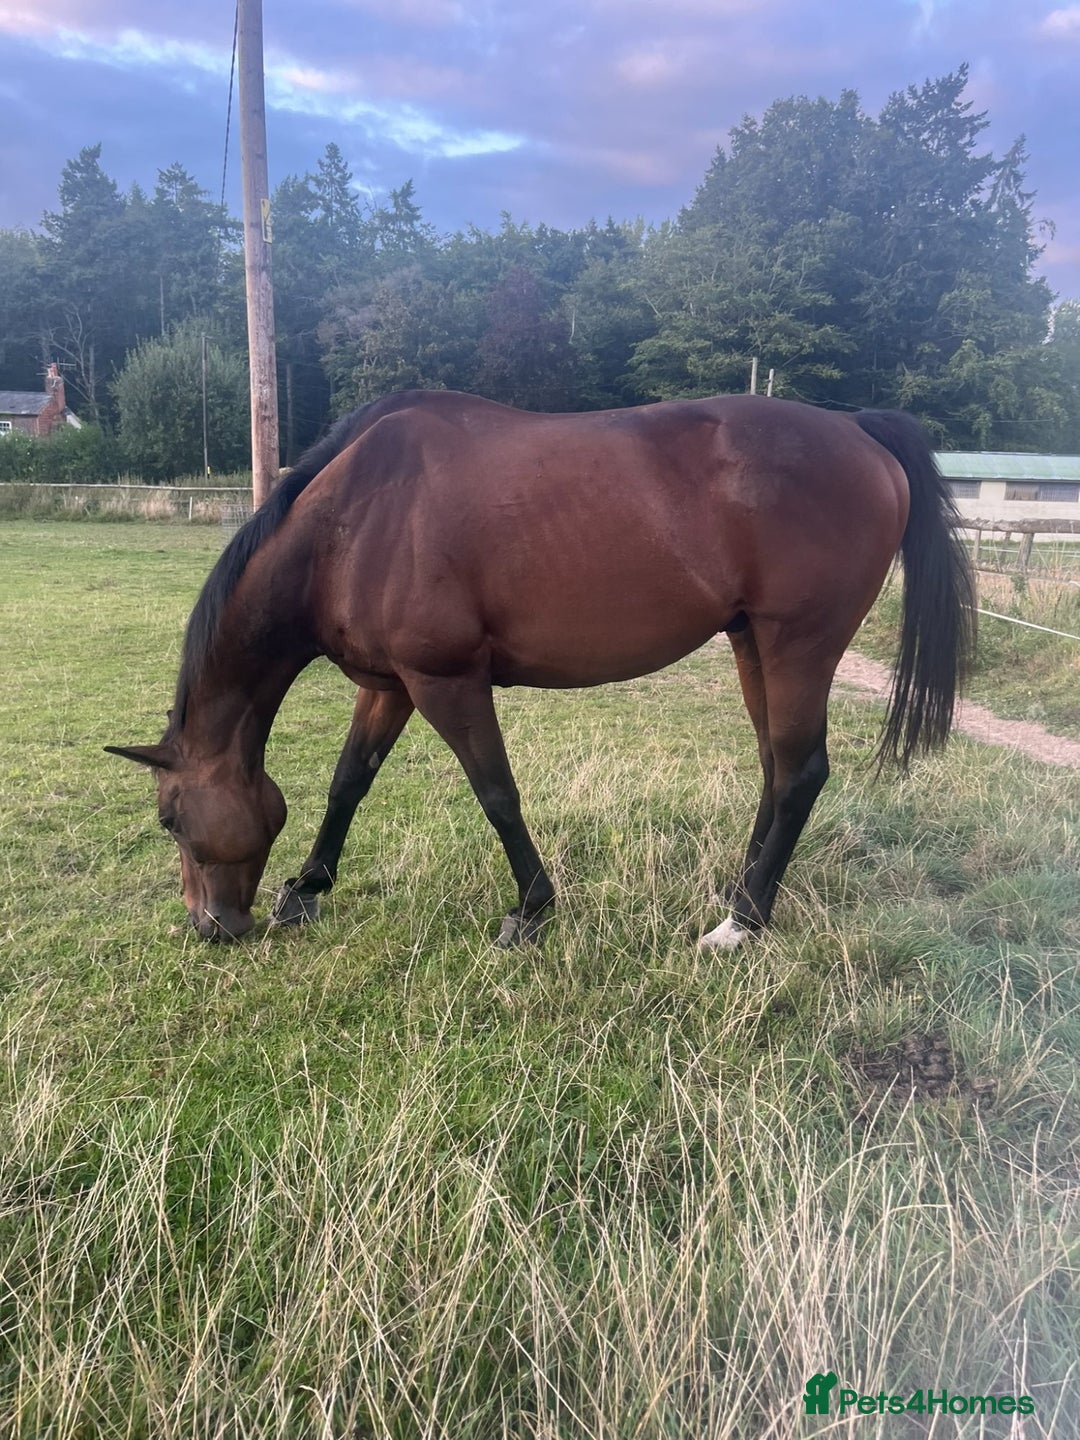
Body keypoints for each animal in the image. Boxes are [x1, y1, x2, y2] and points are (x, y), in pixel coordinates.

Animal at [107, 390, 974, 947]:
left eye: (169, 820)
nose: (212, 928)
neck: (352, 519)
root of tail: (857, 429)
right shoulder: (390, 686)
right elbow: (348, 784)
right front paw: (307, 889)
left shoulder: (447, 682)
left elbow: (496, 793)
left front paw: (530, 909)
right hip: (752, 644)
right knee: (774, 767)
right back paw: (737, 890)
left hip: (800, 646)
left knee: (800, 774)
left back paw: (742, 922)